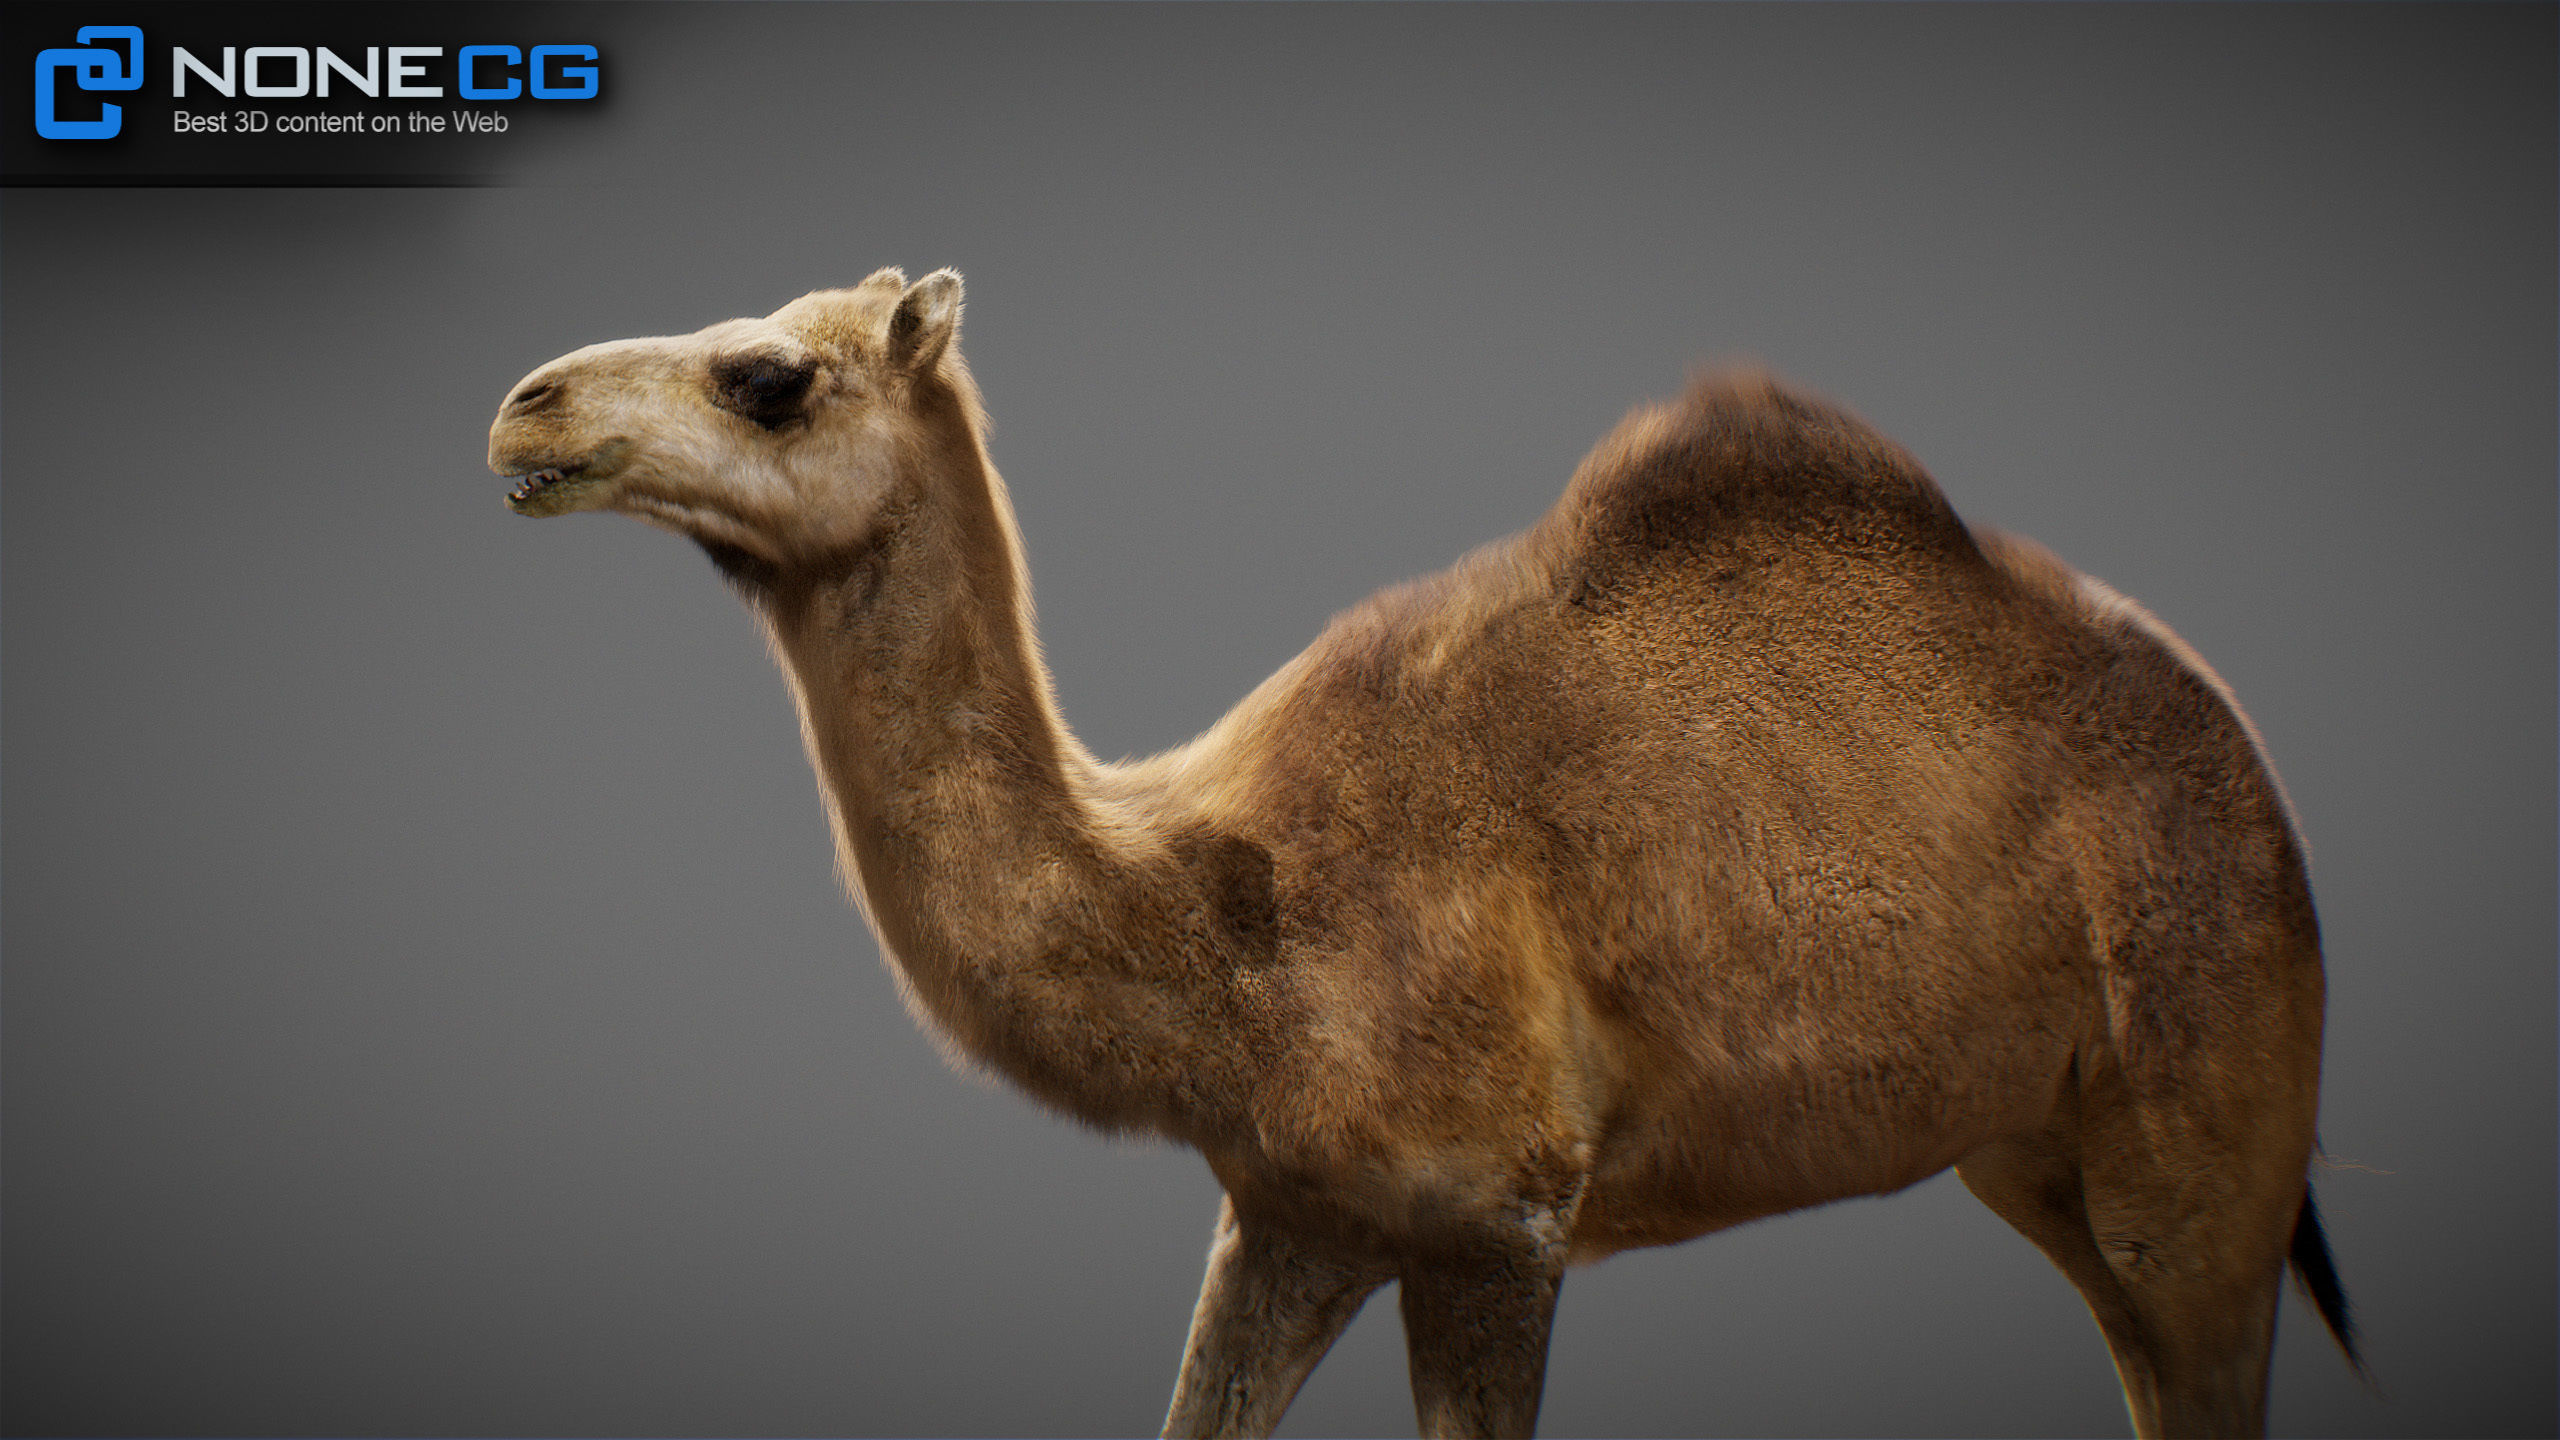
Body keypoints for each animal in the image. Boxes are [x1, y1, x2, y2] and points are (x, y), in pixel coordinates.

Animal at [487, 268, 2357, 1439]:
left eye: (768, 379)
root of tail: (2253, 772)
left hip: (2210, 1105)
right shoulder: (1296, 1217)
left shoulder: (1500, 1222)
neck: (1224, 912)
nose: (524, 408)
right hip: (2040, 1145)